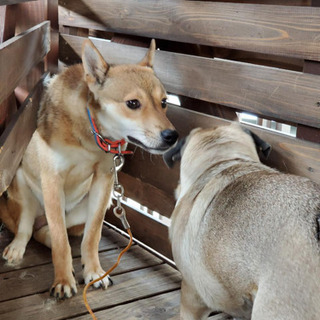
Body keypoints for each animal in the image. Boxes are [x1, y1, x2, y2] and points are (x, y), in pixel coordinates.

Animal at [0, 39, 178, 298]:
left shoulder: (104, 180)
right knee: (27, 229)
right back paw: (16, 248)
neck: (90, 133)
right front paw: (63, 280)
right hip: (22, 188)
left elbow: (91, 236)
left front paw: (94, 272)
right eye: (133, 103)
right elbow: (61, 242)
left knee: (48, 233)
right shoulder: (52, 180)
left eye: (164, 102)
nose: (172, 136)